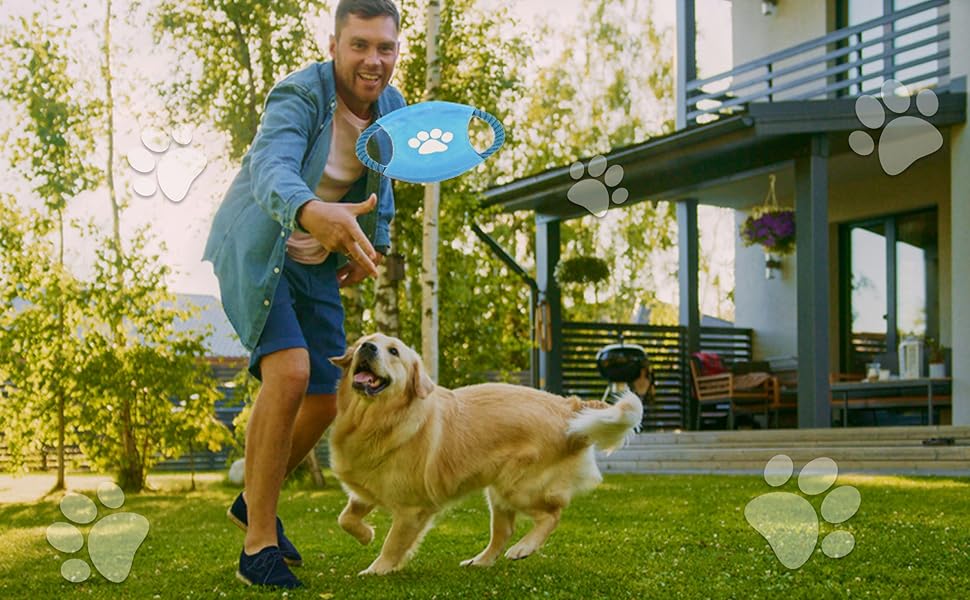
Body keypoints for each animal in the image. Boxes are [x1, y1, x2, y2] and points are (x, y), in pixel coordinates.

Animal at [328, 336, 644, 576]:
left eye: (393, 351)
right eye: (364, 341)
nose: (368, 348)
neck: (377, 420)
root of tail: (567, 406)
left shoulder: (412, 509)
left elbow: (393, 543)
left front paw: (377, 569)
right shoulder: (364, 490)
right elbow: (345, 518)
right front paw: (366, 534)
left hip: (519, 487)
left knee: (552, 514)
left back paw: (524, 548)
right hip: (498, 491)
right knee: (504, 532)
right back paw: (480, 561)